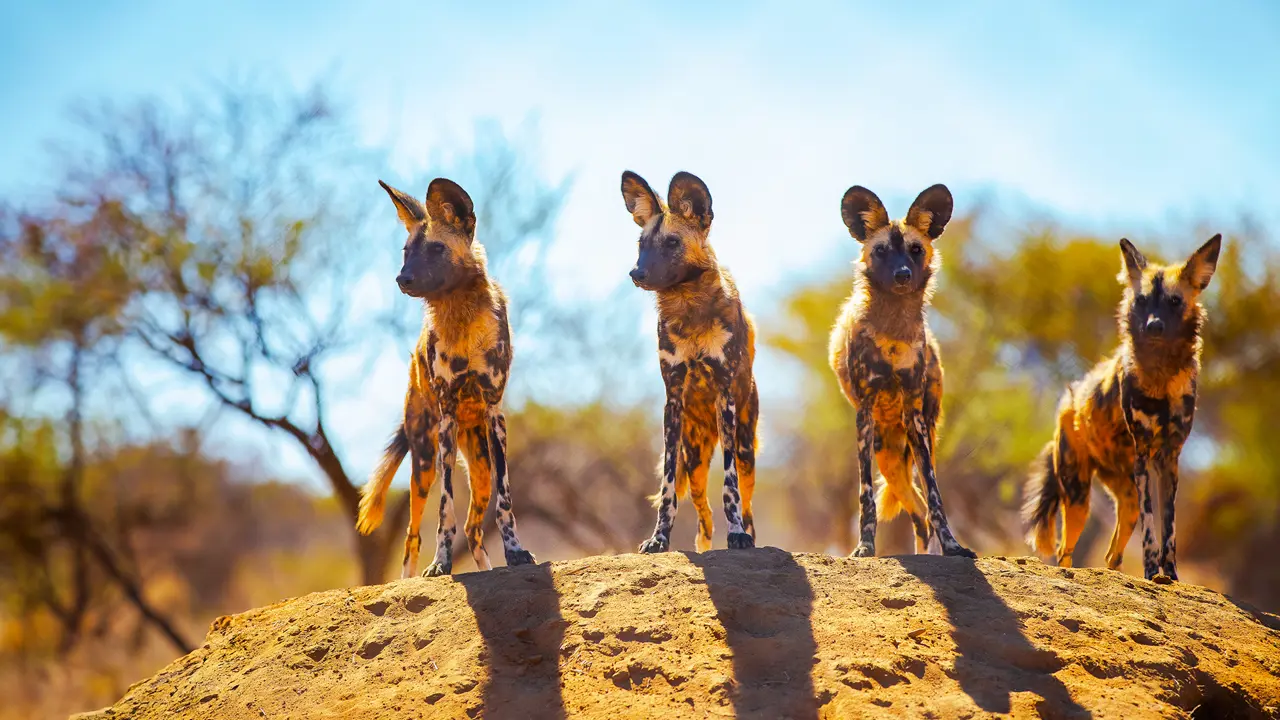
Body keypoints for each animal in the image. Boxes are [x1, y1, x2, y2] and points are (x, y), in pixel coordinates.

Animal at [355, 178, 535, 576]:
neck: (460, 320)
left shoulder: (495, 415)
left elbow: (505, 504)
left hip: (480, 467)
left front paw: (515, 552)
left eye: (437, 249)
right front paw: (441, 563)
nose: (402, 278)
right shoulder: (447, 420)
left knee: (473, 529)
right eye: (406, 251)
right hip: (424, 463)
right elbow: (444, 511)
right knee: (411, 536)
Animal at [619, 170, 757, 550]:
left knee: (744, 501)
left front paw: (737, 535)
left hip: (745, 448)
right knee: (703, 516)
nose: (636, 273)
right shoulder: (673, 402)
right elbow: (667, 488)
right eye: (641, 244)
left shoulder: (725, 398)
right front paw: (659, 538)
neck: (689, 305)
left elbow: (729, 487)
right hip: (693, 457)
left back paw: (748, 535)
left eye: (671, 243)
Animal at [824, 183, 972, 556]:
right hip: (886, 454)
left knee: (922, 510)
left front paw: (953, 546)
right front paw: (864, 548)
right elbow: (865, 497)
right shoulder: (864, 414)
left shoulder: (914, 415)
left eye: (915, 250)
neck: (892, 330)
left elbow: (936, 497)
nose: (902, 275)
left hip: (917, 439)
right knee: (916, 510)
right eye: (881, 251)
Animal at [1024, 233, 1223, 579]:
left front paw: (1169, 575)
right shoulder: (1144, 456)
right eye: (1142, 301)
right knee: (1065, 551)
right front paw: (1151, 572)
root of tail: (1069, 400)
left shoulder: (1169, 459)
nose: (1154, 326)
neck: (1161, 374)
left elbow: (1169, 528)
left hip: (1124, 498)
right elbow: (1151, 529)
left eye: (1174, 301)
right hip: (1078, 498)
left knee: (1111, 555)